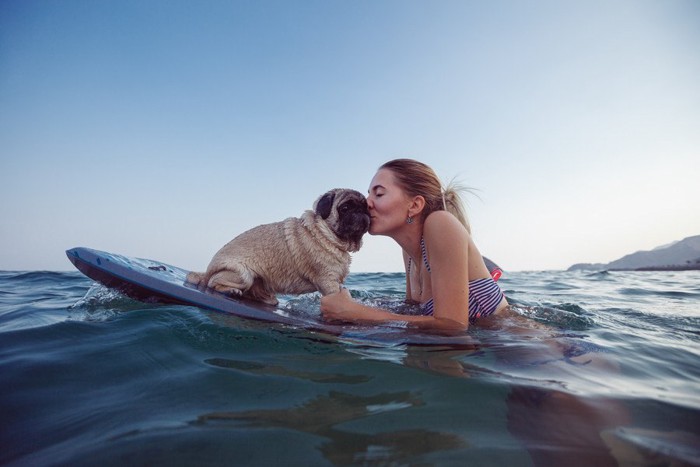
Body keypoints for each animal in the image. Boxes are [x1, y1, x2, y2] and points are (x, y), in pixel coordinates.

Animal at [186, 190, 372, 308]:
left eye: (366, 207)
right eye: (345, 208)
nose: (362, 212)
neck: (327, 234)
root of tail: (207, 271)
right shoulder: (329, 283)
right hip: (242, 274)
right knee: (212, 283)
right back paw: (231, 291)